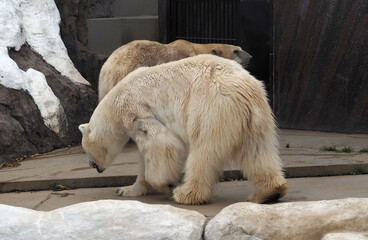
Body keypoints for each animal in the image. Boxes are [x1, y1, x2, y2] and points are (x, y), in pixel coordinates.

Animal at [80, 54, 288, 204]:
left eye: (86, 150)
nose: (93, 166)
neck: (116, 100)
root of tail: (245, 89)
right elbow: (146, 155)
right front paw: (126, 190)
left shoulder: (135, 110)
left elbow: (162, 144)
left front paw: (165, 184)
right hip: (257, 117)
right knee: (257, 150)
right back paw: (269, 193)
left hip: (210, 108)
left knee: (204, 152)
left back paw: (186, 194)